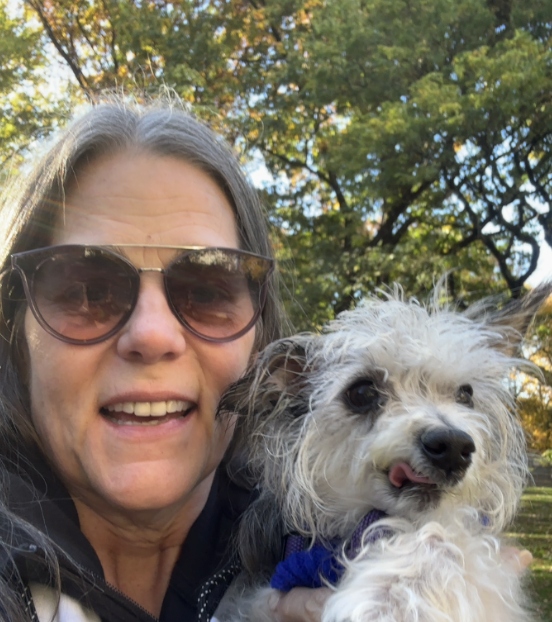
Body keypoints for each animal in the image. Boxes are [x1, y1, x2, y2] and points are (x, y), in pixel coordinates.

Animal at [215, 285, 550, 622]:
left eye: (466, 394)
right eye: (362, 392)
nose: (454, 446)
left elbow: (448, 535)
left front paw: (392, 599)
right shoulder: (259, 598)